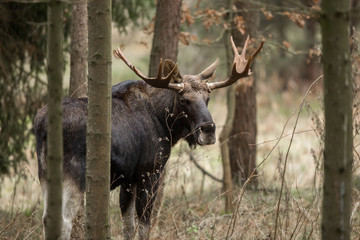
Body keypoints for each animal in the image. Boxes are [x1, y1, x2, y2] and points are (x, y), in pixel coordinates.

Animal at [34, 36, 262, 239]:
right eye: (184, 99)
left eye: (207, 98)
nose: (208, 131)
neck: (164, 123)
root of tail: (41, 124)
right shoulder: (150, 171)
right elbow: (144, 225)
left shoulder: (128, 179)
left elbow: (128, 225)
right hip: (74, 174)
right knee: (63, 221)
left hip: (45, 173)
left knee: (47, 218)